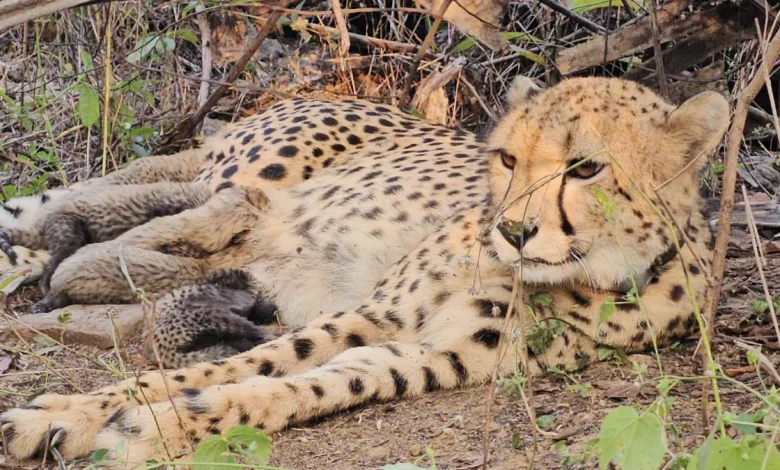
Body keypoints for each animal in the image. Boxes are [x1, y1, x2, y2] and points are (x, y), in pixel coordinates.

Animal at [0, 76, 729, 467]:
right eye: (507, 158)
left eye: (587, 167)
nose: (512, 230)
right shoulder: (378, 311)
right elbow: (231, 365)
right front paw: (64, 413)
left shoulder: (433, 354)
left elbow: (304, 385)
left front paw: (158, 426)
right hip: (247, 173)